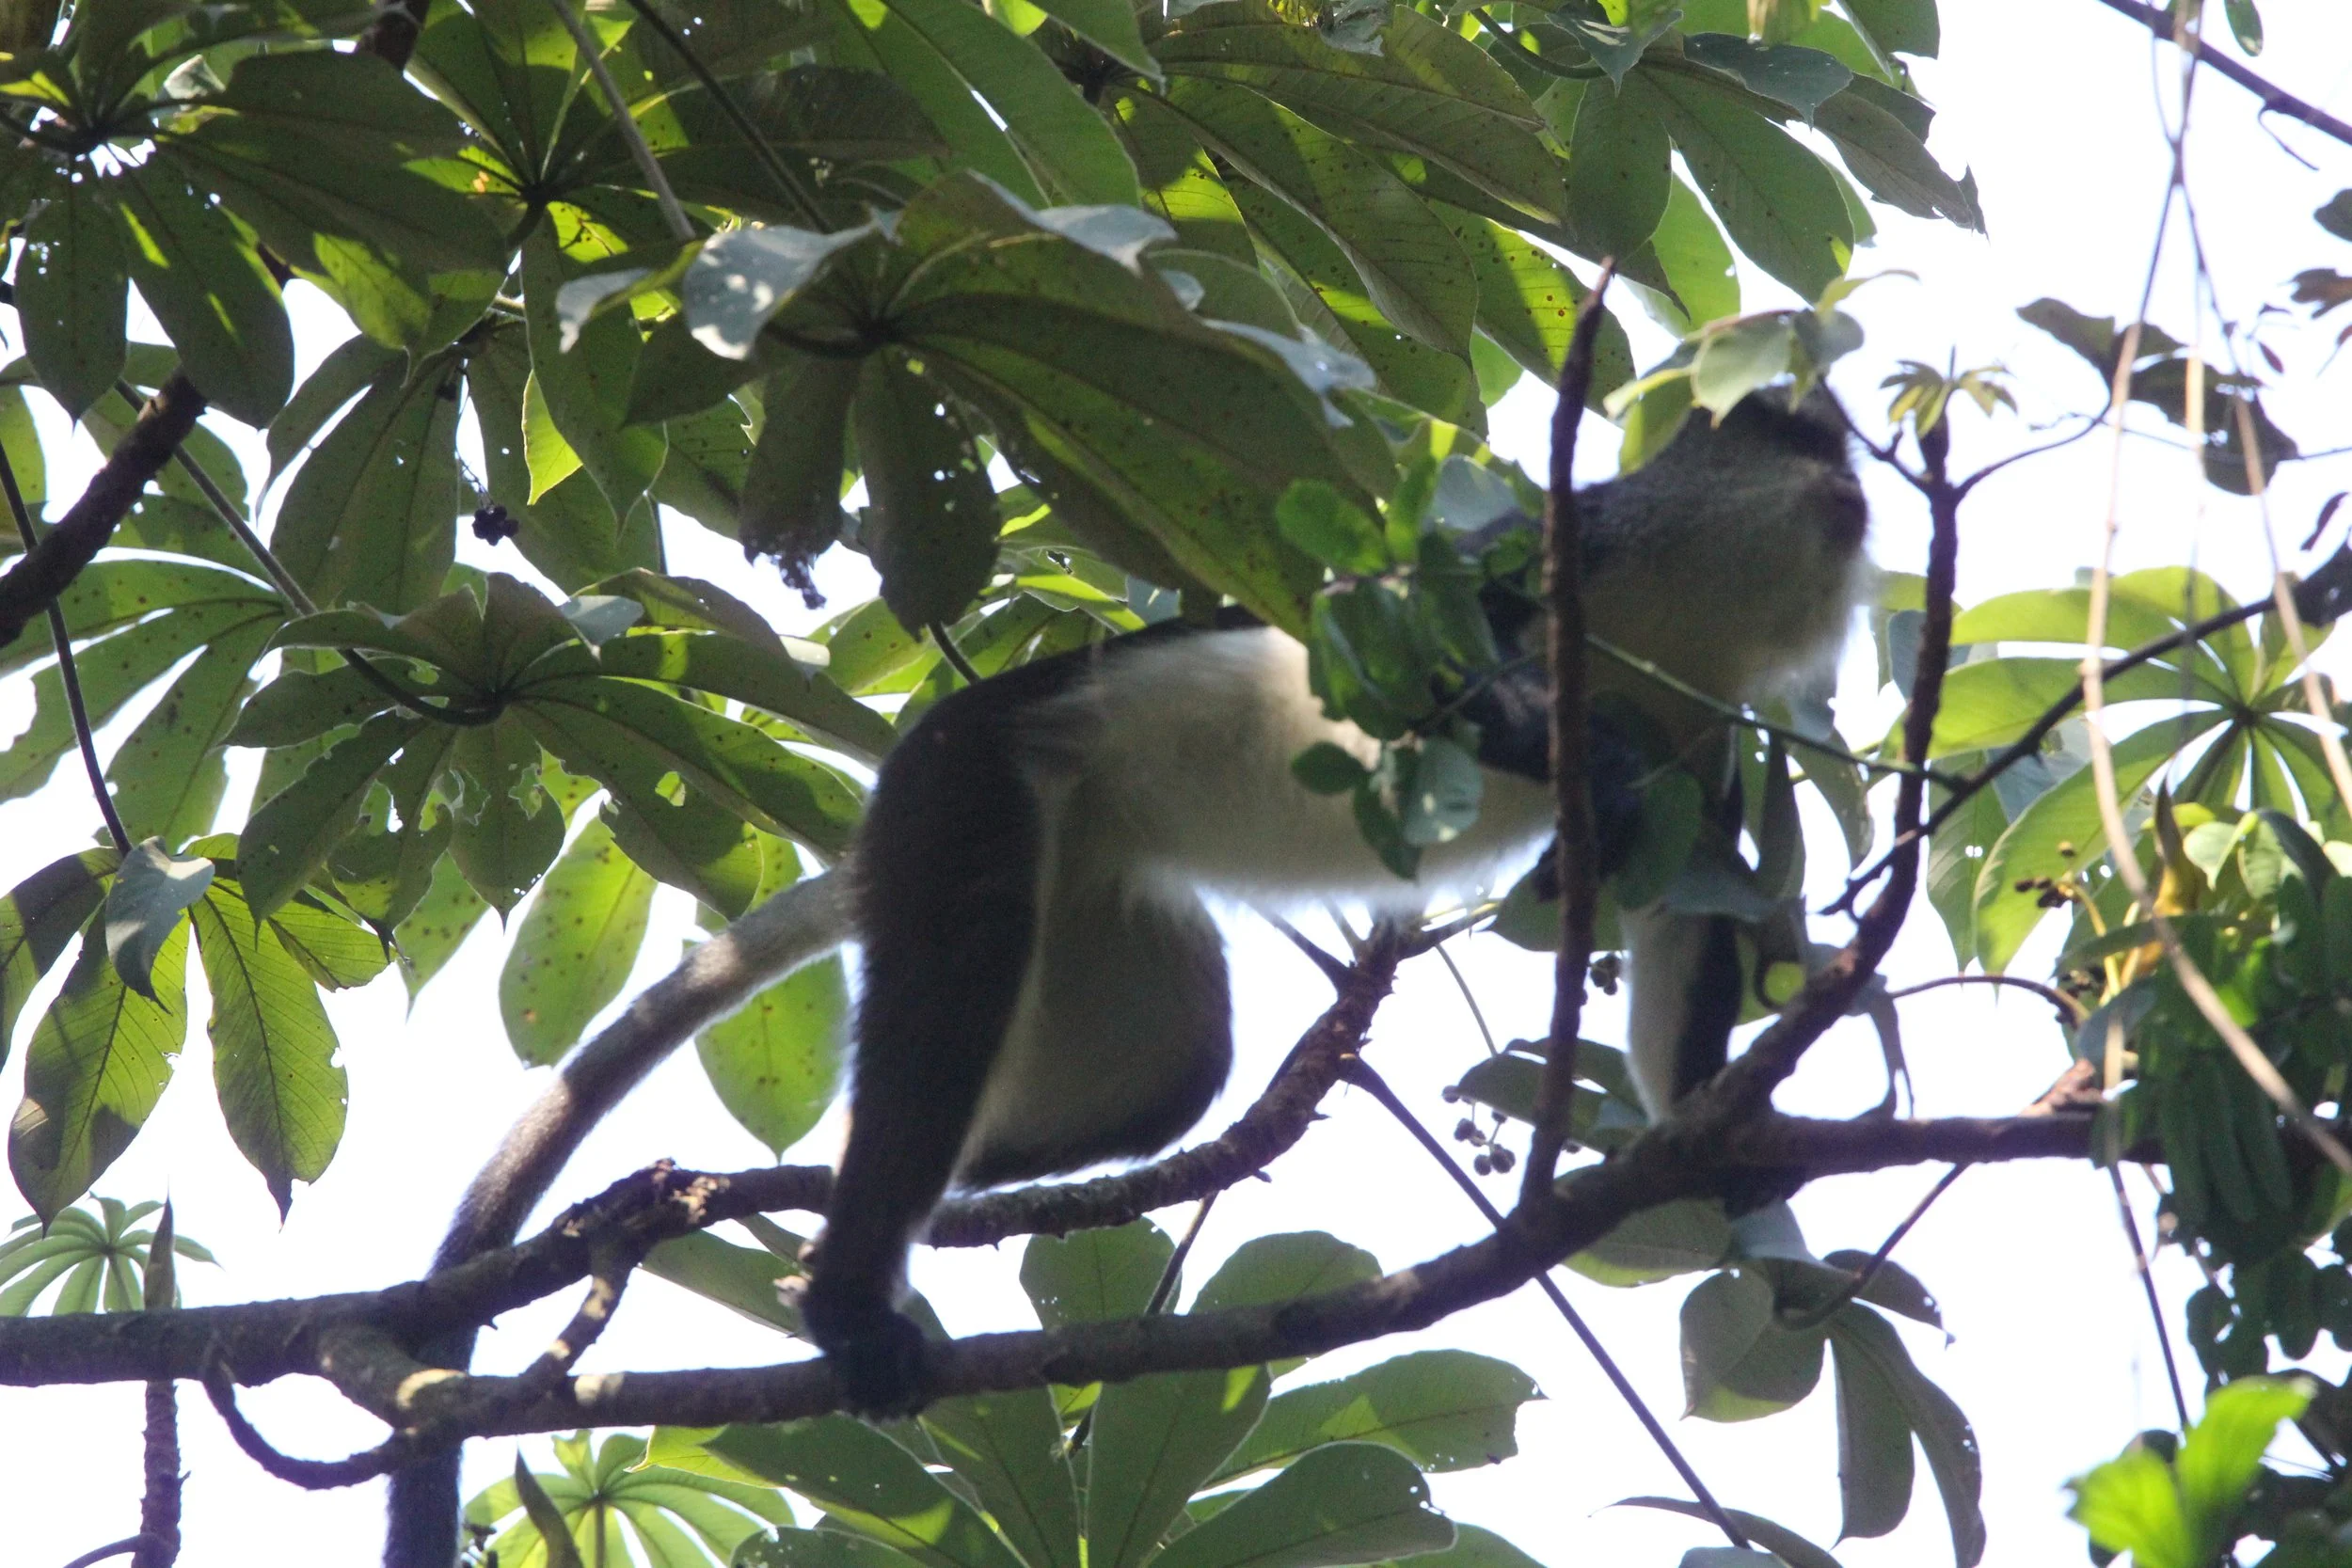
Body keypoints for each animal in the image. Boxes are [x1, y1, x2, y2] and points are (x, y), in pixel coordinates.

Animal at [383, 383, 1867, 1561]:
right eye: (1806, 436)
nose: (1861, 488)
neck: (1669, 621)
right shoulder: (1548, 548)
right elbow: (1382, 625)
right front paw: (1579, 759)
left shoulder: (1709, 733)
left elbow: (1688, 904)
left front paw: (1725, 1147)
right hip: (966, 792)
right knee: (959, 979)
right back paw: (846, 1291)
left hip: (1101, 899)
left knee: (1169, 1078)